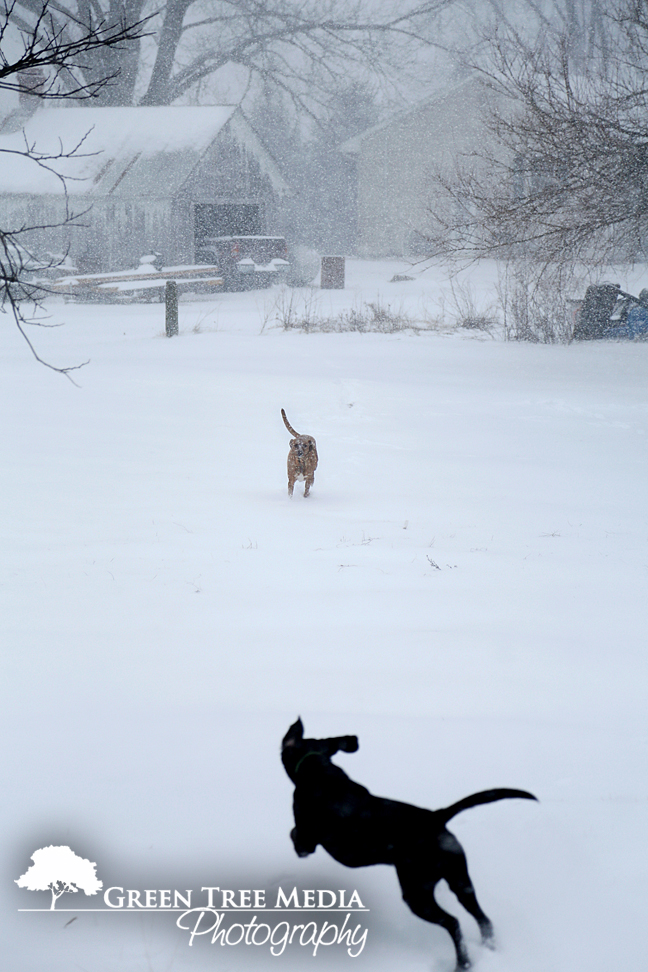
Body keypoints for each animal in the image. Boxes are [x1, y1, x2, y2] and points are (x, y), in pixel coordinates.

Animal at [282, 716, 536, 968]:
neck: (316, 769)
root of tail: (436, 817)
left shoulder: (308, 834)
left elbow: (295, 834)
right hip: (460, 880)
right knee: (483, 918)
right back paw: (488, 948)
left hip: (417, 891)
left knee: (453, 922)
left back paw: (463, 964)